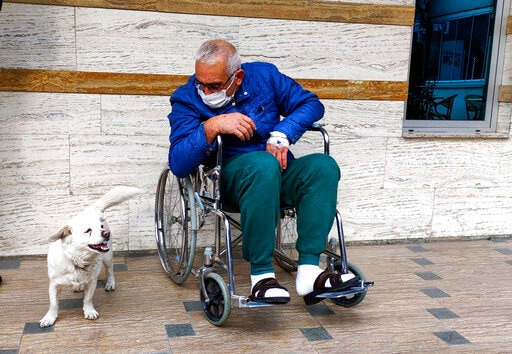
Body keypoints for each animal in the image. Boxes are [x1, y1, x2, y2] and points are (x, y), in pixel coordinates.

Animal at [39, 187, 142, 328]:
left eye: (101, 227)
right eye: (88, 230)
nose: (107, 233)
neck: (77, 260)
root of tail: (91, 210)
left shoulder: (92, 282)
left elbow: (88, 299)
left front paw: (89, 311)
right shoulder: (54, 284)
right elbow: (54, 304)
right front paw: (50, 317)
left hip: (107, 257)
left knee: (110, 270)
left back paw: (110, 283)